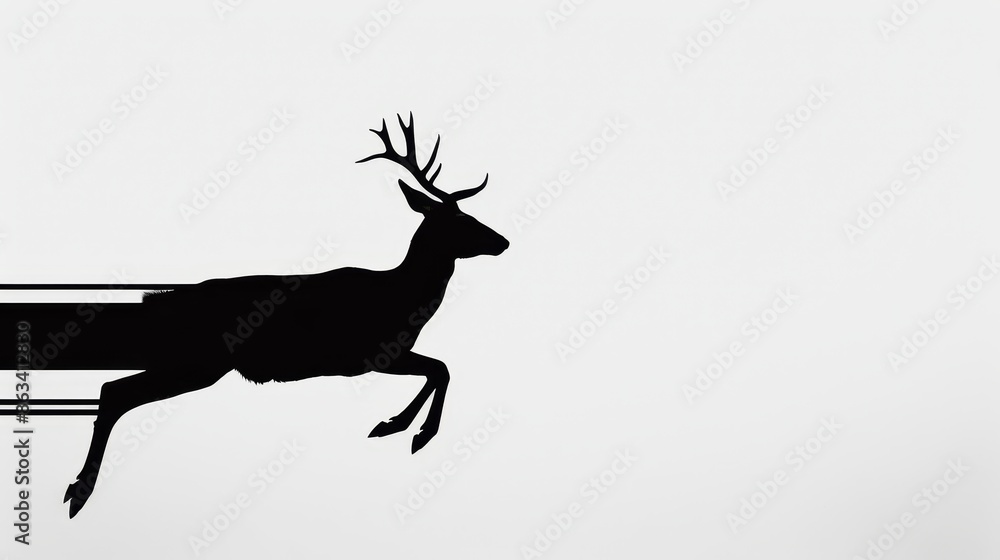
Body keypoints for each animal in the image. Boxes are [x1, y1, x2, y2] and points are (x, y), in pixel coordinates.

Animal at [64, 114, 509, 518]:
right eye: (461, 220)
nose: (502, 241)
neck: (403, 298)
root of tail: (158, 301)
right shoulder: (372, 353)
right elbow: (441, 369)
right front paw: (411, 431)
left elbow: (439, 369)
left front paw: (397, 426)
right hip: (200, 361)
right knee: (115, 391)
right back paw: (78, 493)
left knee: (113, 390)